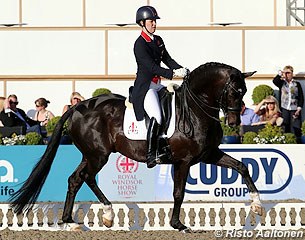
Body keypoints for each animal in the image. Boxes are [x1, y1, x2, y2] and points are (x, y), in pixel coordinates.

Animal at [10, 62, 262, 232]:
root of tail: (77, 107)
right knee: (86, 177)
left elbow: (242, 167)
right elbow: (178, 192)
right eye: (234, 91)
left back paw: (70, 222)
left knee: (75, 179)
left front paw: (257, 205)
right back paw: (107, 214)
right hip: (98, 155)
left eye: (244, 92)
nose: (234, 122)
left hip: (91, 154)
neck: (194, 109)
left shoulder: (208, 154)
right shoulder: (183, 160)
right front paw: (178, 224)